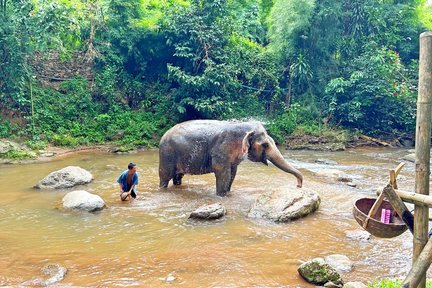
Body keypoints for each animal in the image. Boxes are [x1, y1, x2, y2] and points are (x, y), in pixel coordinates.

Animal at [159, 119, 304, 196]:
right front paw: (221, 196)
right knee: (165, 176)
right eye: (265, 145)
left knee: (178, 177)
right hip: (167, 154)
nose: (298, 186)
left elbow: (232, 173)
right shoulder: (221, 150)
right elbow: (223, 173)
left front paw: (228, 193)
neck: (243, 126)